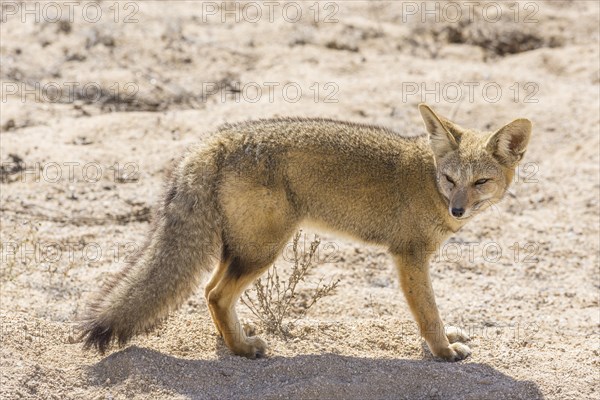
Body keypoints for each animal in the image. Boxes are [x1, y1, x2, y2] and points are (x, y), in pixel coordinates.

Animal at [78, 104, 528, 362]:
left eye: (480, 182)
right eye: (451, 180)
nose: (458, 209)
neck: (428, 178)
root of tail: (214, 141)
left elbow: (433, 312)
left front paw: (446, 338)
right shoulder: (408, 256)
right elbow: (428, 313)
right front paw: (442, 351)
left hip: (243, 249)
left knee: (210, 291)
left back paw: (233, 339)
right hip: (264, 250)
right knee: (215, 293)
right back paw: (243, 350)